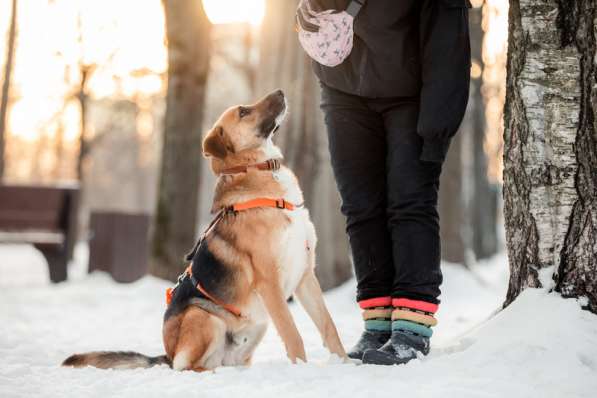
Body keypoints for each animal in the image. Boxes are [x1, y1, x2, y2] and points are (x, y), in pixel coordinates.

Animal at [62, 91, 344, 374]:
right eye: (243, 111)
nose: (281, 92)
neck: (253, 170)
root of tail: (167, 355)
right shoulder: (269, 282)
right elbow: (293, 334)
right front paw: (303, 369)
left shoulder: (306, 276)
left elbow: (329, 327)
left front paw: (345, 363)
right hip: (204, 317)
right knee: (188, 367)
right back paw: (213, 373)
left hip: (257, 325)